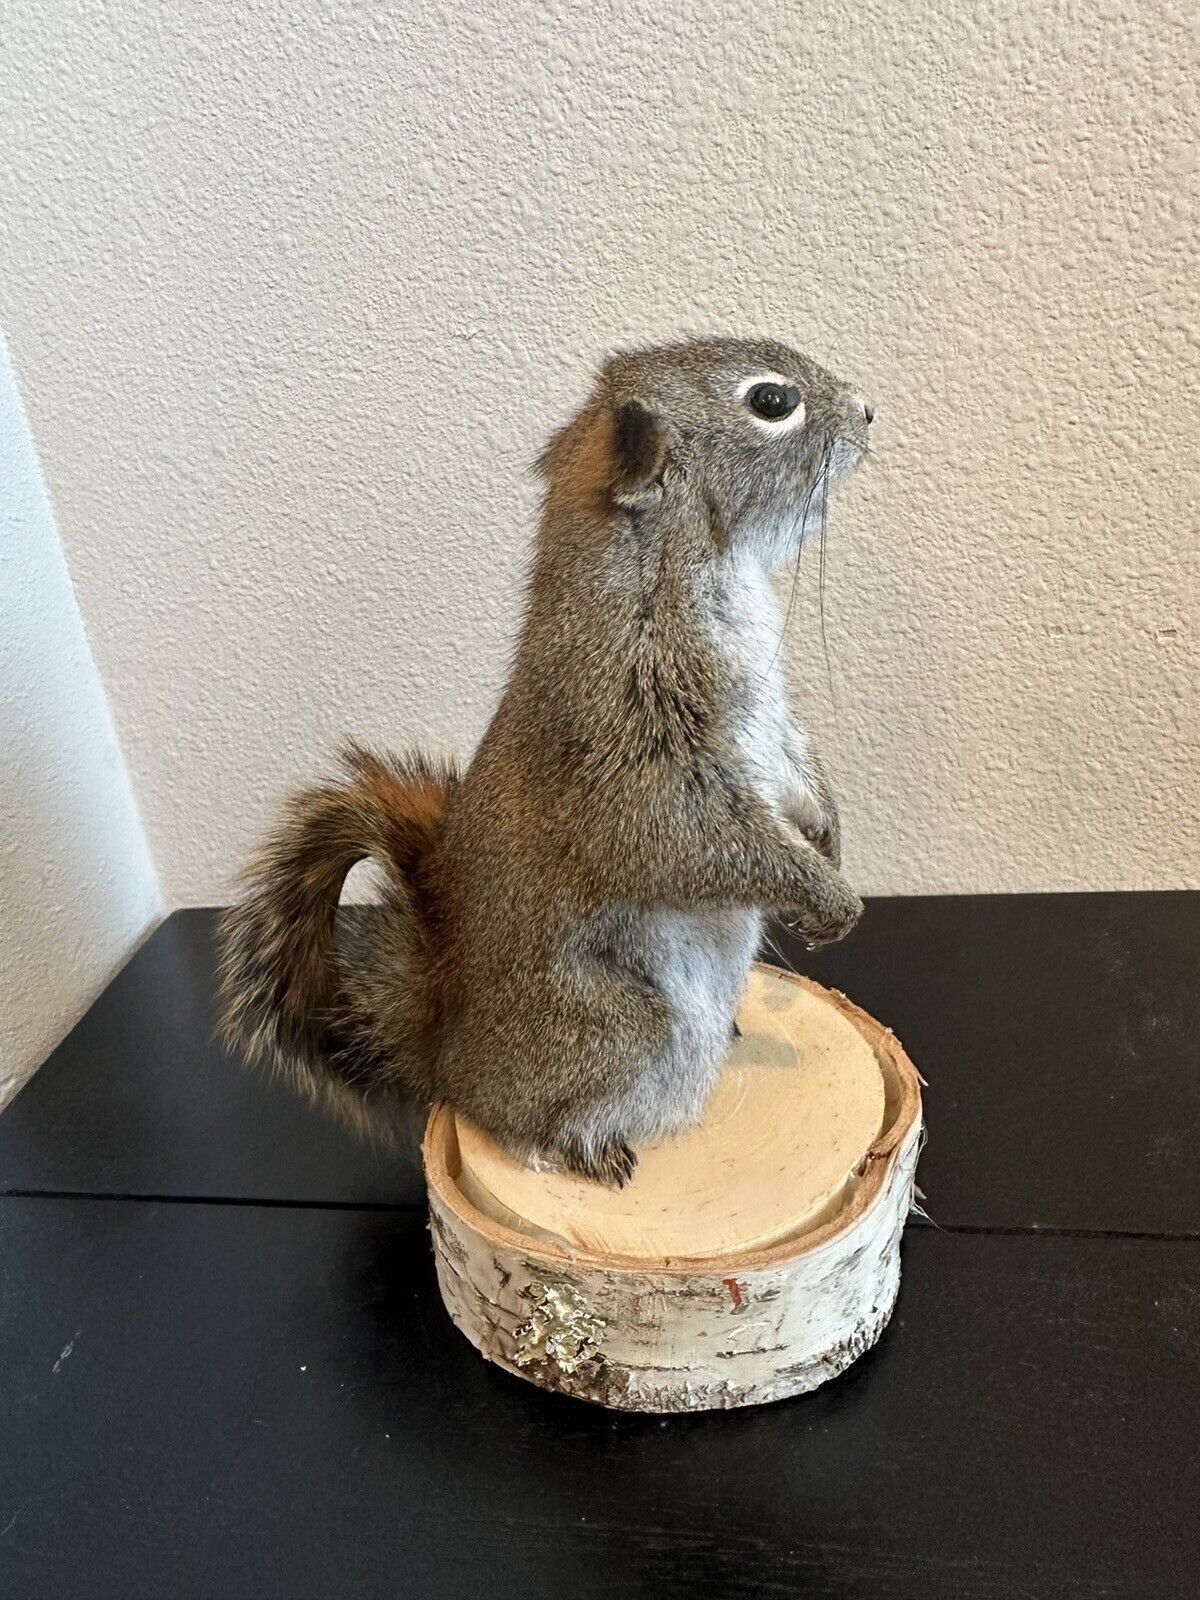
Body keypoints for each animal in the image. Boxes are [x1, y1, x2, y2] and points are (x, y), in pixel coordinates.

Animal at [217, 337, 872, 1186]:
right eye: (771, 402)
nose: (867, 411)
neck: (690, 565)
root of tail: (444, 1052)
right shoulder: (624, 741)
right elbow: (682, 840)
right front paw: (829, 896)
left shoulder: (770, 720)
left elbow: (798, 771)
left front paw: (830, 844)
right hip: (612, 1029)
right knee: (515, 1120)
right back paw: (582, 1152)